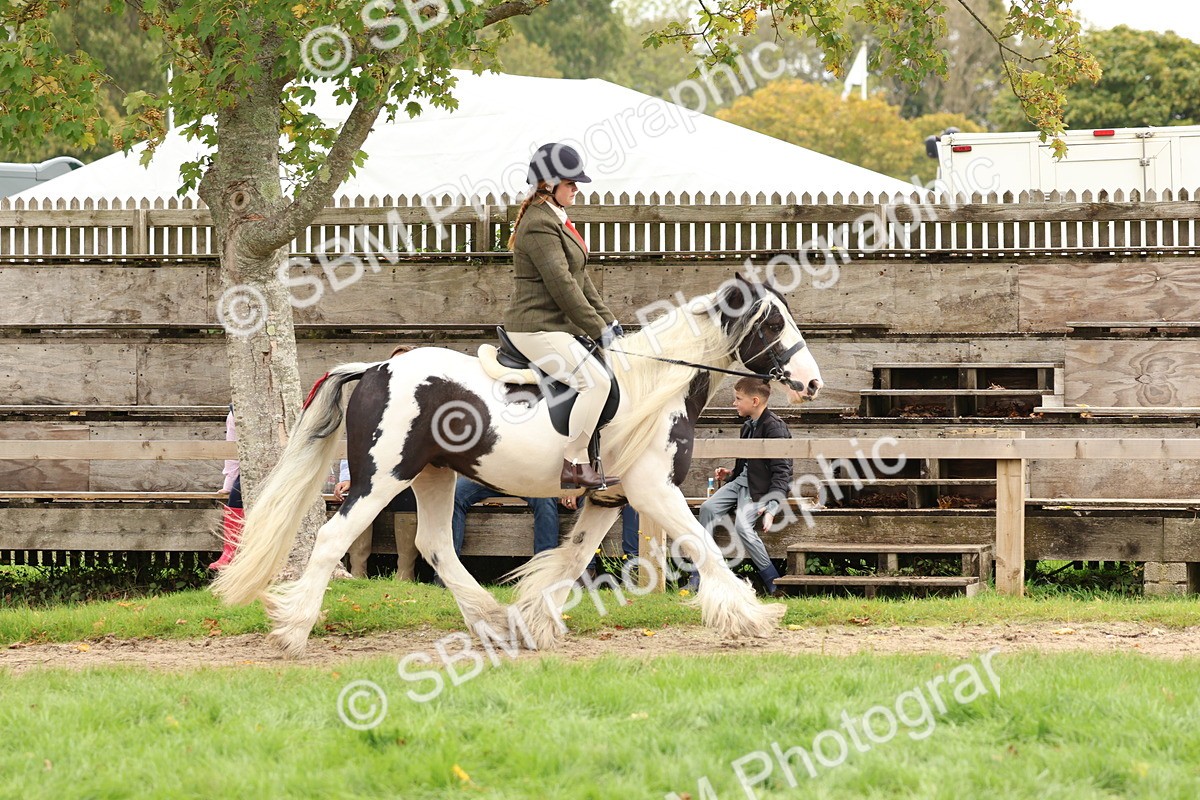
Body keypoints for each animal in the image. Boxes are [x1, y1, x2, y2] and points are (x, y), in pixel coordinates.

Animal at [212, 275, 824, 656]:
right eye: (772, 326)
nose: (813, 383)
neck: (655, 386)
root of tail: (377, 367)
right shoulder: (654, 490)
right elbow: (702, 545)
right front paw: (751, 617)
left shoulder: (609, 496)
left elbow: (571, 559)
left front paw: (534, 621)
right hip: (381, 478)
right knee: (332, 538)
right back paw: (293, 630)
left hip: (433, 475)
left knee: (435, 544)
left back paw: (493, 620)